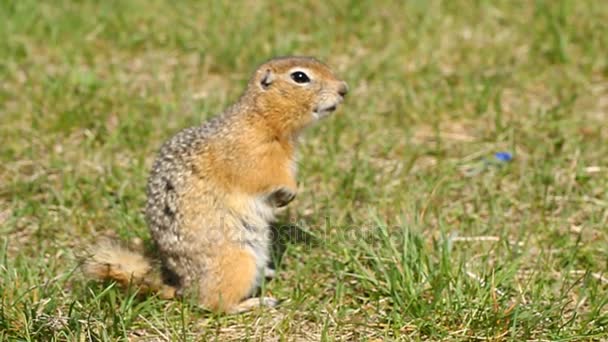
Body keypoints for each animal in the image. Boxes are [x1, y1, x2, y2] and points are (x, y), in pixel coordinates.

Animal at [84, 56, 346, 312]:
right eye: (300, 77)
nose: (343, 89)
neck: (260, 119)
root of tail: (183, 288)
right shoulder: (252, 155)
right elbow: (265, 176)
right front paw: (290, 191)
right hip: (238, 262)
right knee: (214, 304)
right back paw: (256, 302)